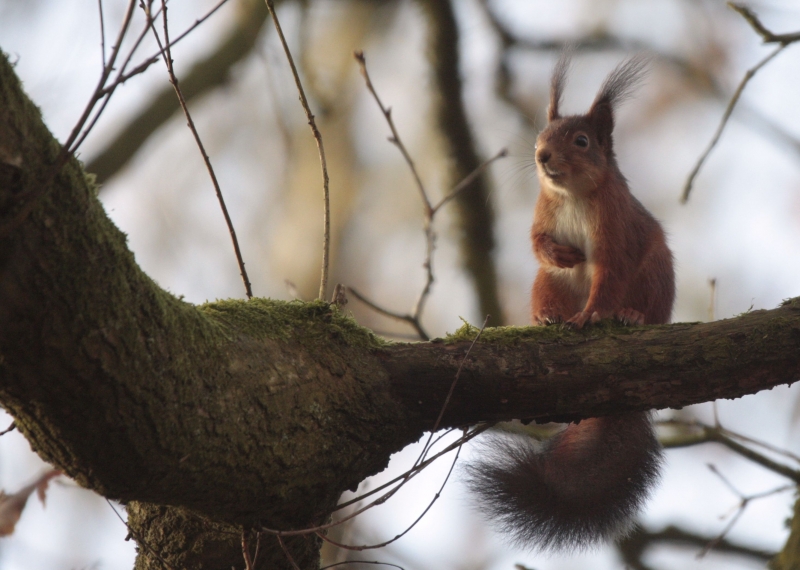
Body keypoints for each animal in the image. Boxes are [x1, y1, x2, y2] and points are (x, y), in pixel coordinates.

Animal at [468, 53, 676, 552]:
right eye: (542, 136)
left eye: (581, 141)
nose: (542, 157)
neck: (574, 194)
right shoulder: (542, 215)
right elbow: (537, 242)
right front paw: (562, 255)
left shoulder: (617, 236)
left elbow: (609, 276)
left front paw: (594, 314)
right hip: (547, 284)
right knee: (548, 289)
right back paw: (547, 318)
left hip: (657, 276)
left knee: (643, 303)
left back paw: (631, 315)